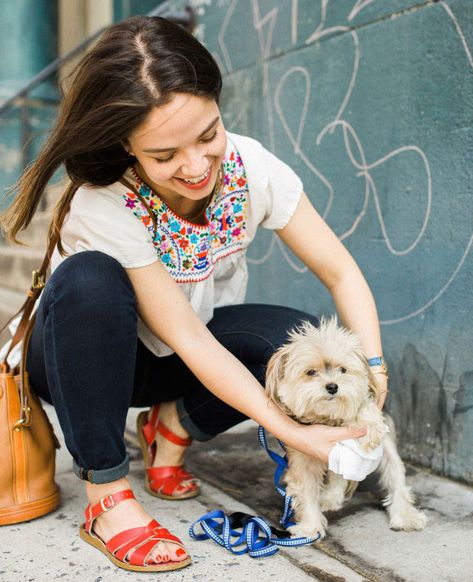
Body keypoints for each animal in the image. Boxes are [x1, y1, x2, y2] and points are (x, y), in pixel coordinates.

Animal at [266, 318, 428, 540]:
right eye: (311, 372)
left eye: (342, 370)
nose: (332, 386)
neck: (329, 418)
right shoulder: (302, 457)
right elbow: (306, 492)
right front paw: (310, 527)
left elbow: (364, 407)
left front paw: (368, 426)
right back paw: (330, 498)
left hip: (385, 450)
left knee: (395, 477)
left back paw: (405, 516)